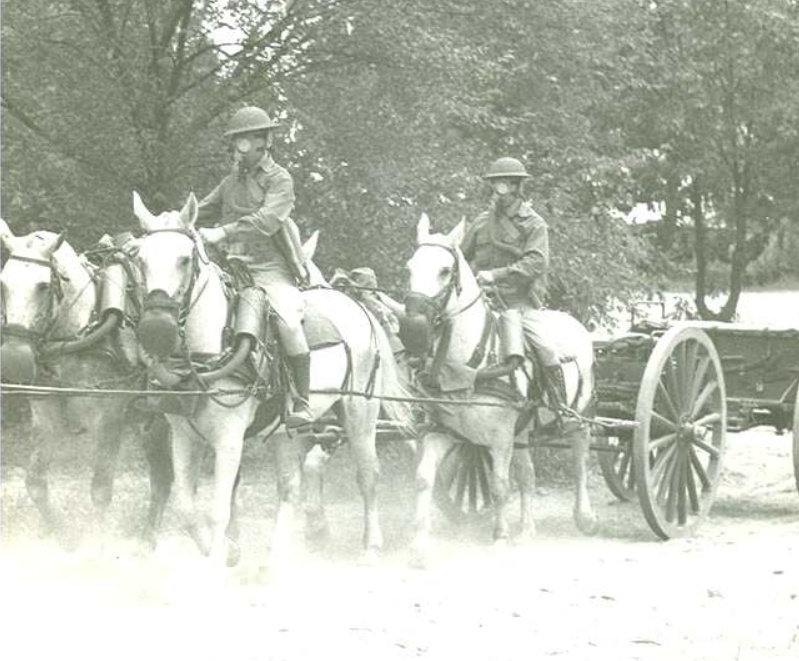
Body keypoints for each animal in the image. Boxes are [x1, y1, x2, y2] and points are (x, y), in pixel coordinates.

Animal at [0, 218, 170, 548]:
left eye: (43, 286)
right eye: (2, 284)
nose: (14, 360)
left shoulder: (109, 421)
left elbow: (101, 489)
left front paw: (97, 544)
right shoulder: (45, 418)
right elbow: (35, 482)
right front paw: (64, 538)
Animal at [130, 193, 412, 564]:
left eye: (184, 259)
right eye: (140, 260)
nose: (155, 331)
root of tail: (356, 305)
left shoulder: (229, 439)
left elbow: (218, 510)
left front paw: (215, 563)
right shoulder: (184, 437)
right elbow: (187, 509)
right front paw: (229, 552)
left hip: (360, 415)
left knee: (368, 475)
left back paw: (371, 547)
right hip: (286, 432)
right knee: (289, 488)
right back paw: (275, 557)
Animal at [410, 214, 596, 564]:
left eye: (445, 270)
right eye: (410, 267)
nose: (413, 324)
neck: (470, 362)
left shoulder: (499, 438)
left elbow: (499, 485)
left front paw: (499, 537)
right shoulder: (442, 431)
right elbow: (425, 478)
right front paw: (420, 546)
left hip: (578, 418)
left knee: (579, 462)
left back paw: (584, 517)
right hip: (522, 432)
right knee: (528, 474)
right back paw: (527, 529)